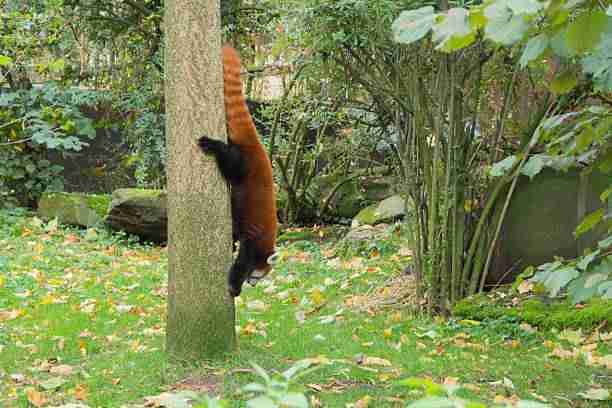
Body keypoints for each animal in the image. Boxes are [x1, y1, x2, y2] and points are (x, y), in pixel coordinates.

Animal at [198, 46, 278, 298]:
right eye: (259, 276)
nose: (253, 284)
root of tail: (257, 146)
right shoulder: (255, 239)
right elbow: (242, 261)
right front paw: (235, 286)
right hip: (244, 164)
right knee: (229, 158)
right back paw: (212, 145)